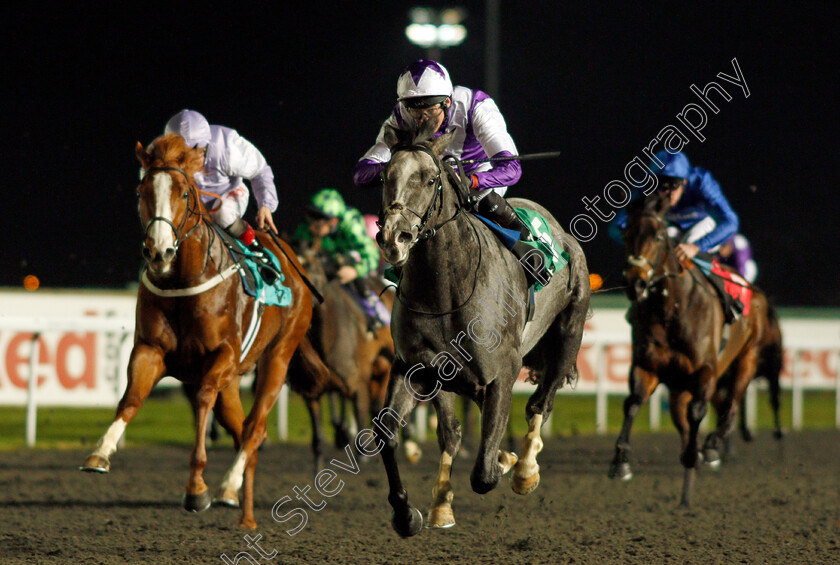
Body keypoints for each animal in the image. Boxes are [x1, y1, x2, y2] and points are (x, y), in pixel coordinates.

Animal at [82, 135, 324, 528]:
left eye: (183, 193)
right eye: (142, 191)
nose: (159, 251)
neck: (184, 279)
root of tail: (295, 264)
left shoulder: (222, 355)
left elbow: (201, 400)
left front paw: (197, 488)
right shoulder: (150, 350)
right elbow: (131, 399)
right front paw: (100, 452)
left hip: (277, 357)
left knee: (255, 427)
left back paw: (228, 484)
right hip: (234, 381)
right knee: (246, 431)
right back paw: (243, 509)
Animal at [374, 125, 592, 536]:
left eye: (430, 178)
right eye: (384, 177)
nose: (395, 237)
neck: (444, 292)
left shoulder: (503, 371)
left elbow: (484, 476)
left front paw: (509, 463)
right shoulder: (415, 369)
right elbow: (391, 433)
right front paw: (409, 512)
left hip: (568, 335)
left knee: (541, 403)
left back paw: (525, 469)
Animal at [608, 188, 784, 506]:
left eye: (658, 237)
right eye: (627, 233)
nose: (635, 283)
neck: (671, 310)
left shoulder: (706, 370)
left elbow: (699, 411)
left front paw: (696, 455)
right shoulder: (646, 365)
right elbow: (633, 403)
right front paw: (620, 461)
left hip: (748, 359)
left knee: (732, 405)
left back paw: (712, 446)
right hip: (679, 386)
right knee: (686, 416)